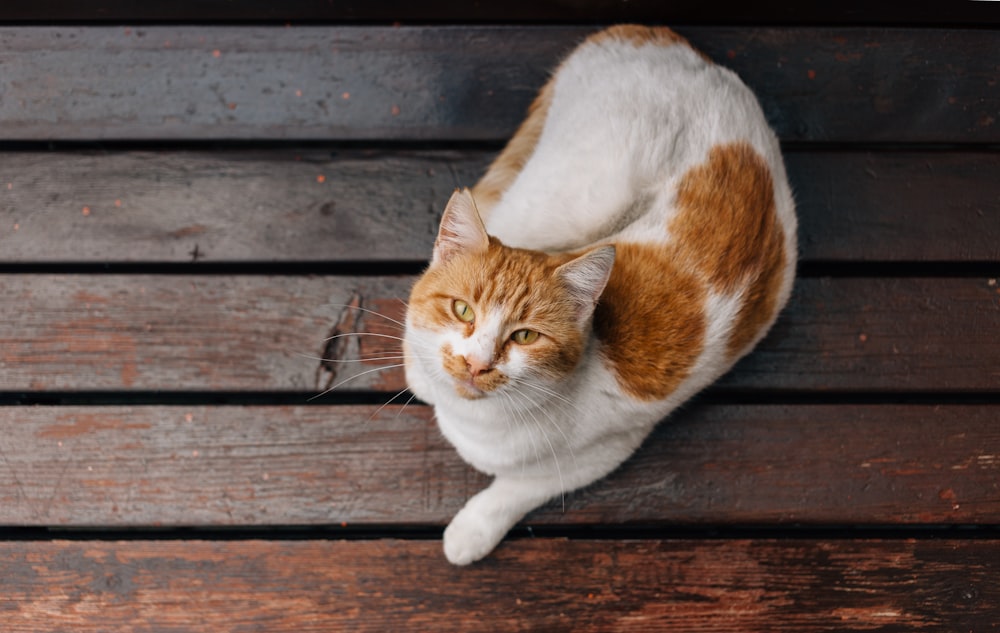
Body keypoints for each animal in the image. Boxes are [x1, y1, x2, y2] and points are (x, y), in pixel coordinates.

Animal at [402, 27, 792, 564]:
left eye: (525, 336)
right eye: (462, 310)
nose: (477, 364)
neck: (470, 416)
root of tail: (669, 39)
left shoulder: (603, 453)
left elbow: (516, 490)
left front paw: (470, 532)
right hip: (562, 202)